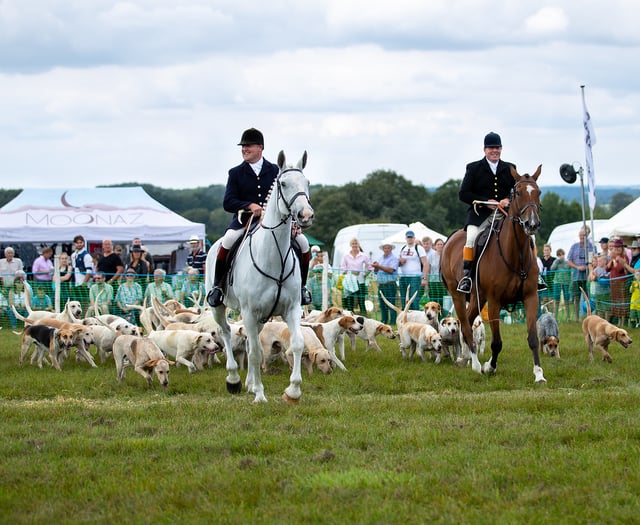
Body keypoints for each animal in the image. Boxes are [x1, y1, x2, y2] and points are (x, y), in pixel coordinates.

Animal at [206, 150, 314, 402]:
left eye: (307, 183)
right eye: (283, 184)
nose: (305, 215)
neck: (275, 259)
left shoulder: (291, 308)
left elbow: (296, 344)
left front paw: (293, 391)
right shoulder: (248, 311)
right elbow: (255, 352)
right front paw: (260, 396)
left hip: (262, 317)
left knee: (248, 341)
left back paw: (250, 383)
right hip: (221, 307)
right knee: (227, 333)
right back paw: (234, 379)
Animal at [442, 166, 548, 382]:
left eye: (538, 192)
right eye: (518, 193)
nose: (532, 224)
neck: (516, 254)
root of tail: (451, 238)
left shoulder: (531, 297)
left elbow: (533, 338)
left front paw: (539, 374)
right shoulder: (494, 300)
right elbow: (497, 342)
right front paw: (489, 367)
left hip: (478, 297)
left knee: (467, 320)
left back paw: (465, 357)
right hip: (458, 294)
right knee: (465, 325)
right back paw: (474, 364)